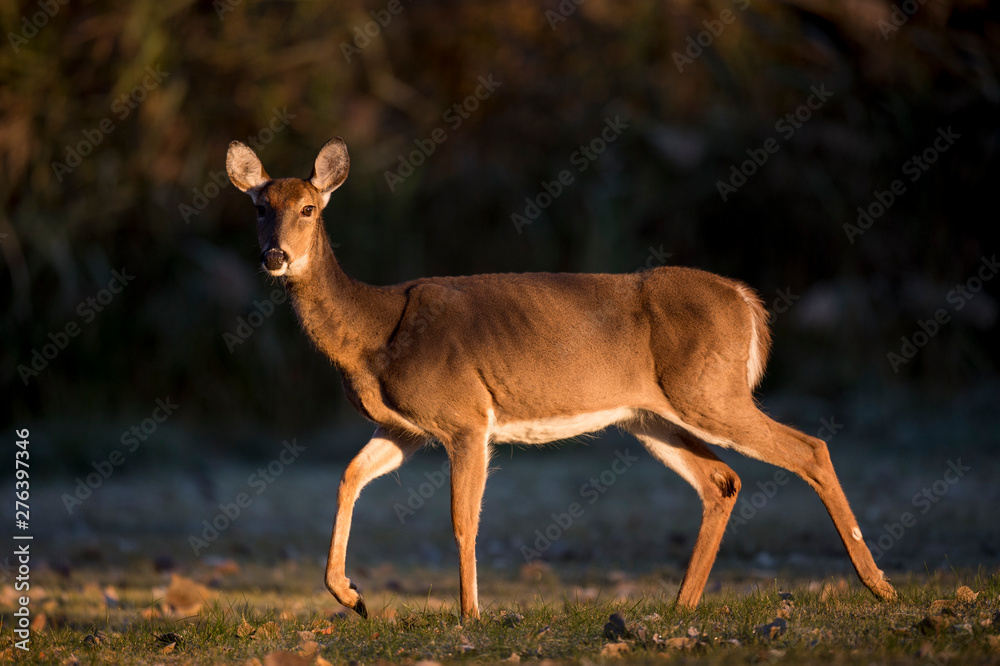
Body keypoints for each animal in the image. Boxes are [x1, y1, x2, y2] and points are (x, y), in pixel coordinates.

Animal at [226, 136, 897, 620]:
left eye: (309, 208)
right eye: (259, 208)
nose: (276, 256)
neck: (373, 332)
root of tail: (747, 302)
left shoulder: (466, 417)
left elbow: (462, 518)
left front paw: (470, 615)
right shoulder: (407, 429)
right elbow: (348, 477)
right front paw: (352, 596)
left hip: (711, 391)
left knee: (810, 447)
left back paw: (879, 586)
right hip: (649, 415)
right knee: (722, 480)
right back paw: (681, 606)